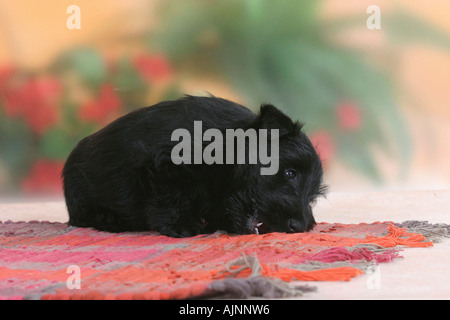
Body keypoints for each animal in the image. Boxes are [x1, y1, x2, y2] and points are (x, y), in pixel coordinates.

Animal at [61, 95, 326, 238]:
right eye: (290, 173)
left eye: (313, 198)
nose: (299, 226)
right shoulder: (164, 166)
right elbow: (172, 195)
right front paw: (182, 225)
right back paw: (107, 219)